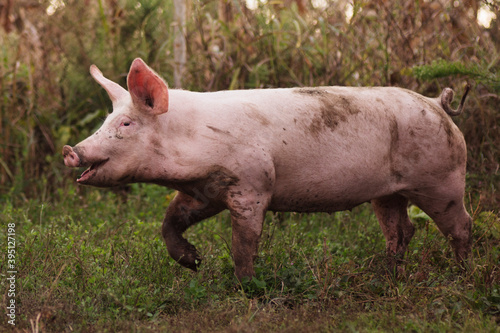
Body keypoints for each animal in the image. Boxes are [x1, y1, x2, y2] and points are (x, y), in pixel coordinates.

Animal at [63, 57, 472, 280]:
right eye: (106, 120)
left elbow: (243, 245)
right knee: (401, 230)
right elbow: (169, 222)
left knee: (461, 226)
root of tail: (438, 104)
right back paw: (387, 276)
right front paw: (194, 263)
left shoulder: (252, 185)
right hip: (388, 192)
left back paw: (461, 274)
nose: (72, 150)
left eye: (126, 124)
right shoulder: (205, 190)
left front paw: (245, 287)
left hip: (442, 178)